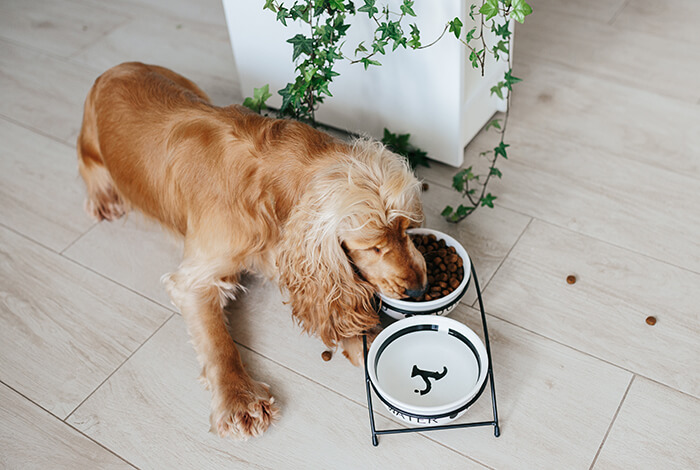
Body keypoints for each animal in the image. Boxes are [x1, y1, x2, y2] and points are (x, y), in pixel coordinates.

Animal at [75, 62, 426, 440]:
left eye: (406, 229)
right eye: (372, 246)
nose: (419, 289)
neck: (270, 184)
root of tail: (112, 70)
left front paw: (372, 338)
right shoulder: (194, 279)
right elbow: (219, 342)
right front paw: (239, 398)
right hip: (90, 151)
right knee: (90, 171)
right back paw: (102, 200)